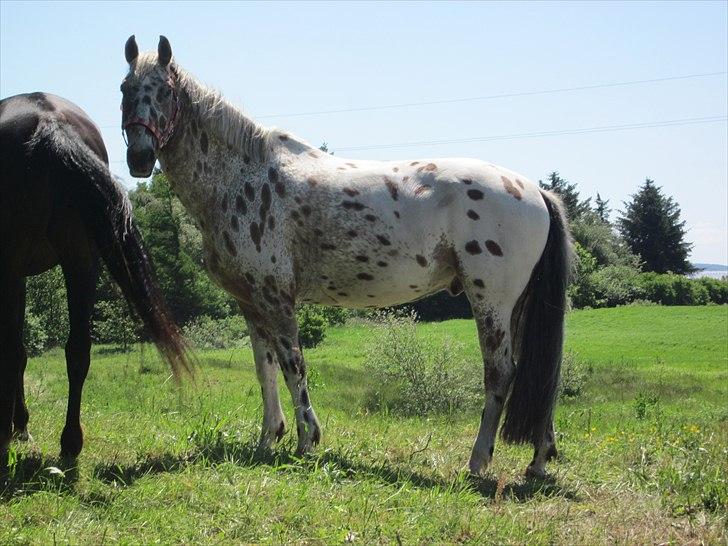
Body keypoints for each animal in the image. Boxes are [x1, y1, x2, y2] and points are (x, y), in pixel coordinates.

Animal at [0, 91, 192, 470]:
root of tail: (50, 123)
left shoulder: (13, 274)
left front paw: (19, 425)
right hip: (81, 262)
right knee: (78, 351)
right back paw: (70, 444)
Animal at [121, 35, 576, 476]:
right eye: (125, 88)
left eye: (165, 91)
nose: (139, 158)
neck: (244, 180)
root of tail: (536, 191)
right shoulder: (250, 303)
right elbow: (264, 369)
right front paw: (268, 439)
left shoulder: (277, 298)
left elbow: (293, 365)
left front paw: (306, 440)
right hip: (516, 306)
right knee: (539, 375)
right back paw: (538, 460)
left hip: (491, 301)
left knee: (501, 373)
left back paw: (479, 461)